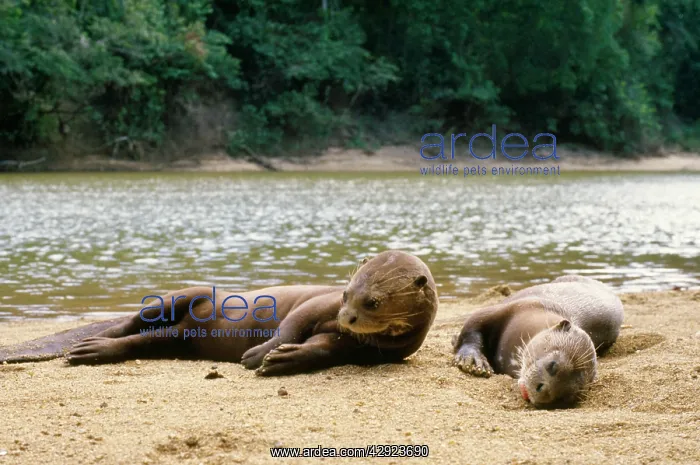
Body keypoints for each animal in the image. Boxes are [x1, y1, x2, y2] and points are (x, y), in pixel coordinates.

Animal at [0, 250, 438, 376]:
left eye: (373, 302)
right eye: (347, 293)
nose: (348, 318)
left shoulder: (367, 348)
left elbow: (322, 348)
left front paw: (284, 360)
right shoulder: (321, 302)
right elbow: (292, 322)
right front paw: (260, 354)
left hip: (176, 341)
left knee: (145, 340)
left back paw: (92, 350)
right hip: (186, 294)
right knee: (131, 322)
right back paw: (89, 343)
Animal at [452, 275, 623, 408]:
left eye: (568, 396)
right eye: (553, 365)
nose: (546, 397)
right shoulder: (510, 308)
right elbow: (472, 327)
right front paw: (472, 361)